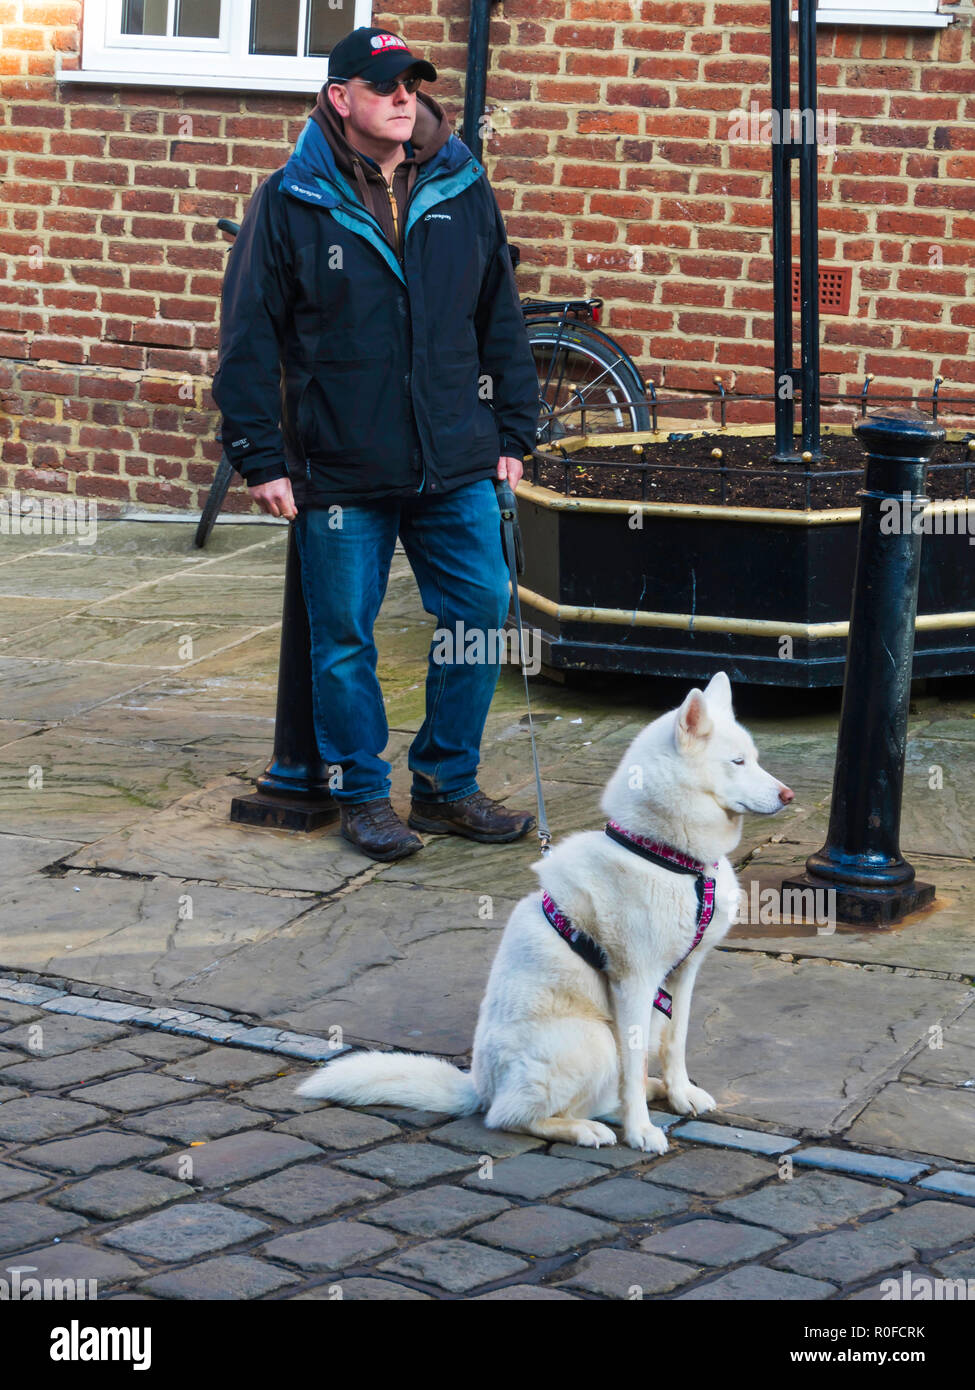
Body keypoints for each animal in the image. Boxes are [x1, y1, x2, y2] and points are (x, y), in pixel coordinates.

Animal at [294, 672, 790, 1150]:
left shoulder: (684, 974)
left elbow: (677, 1042)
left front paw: (680, 1092)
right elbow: (633, 1069)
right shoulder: (635, 983)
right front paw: (641, 1132)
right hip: (593, 1040)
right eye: (738, 762)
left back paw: (646, 1092)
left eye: (755, 758)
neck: (670, 858)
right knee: (511, 1117)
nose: (788, 795)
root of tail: (479, 1086)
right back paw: (584, 1129)